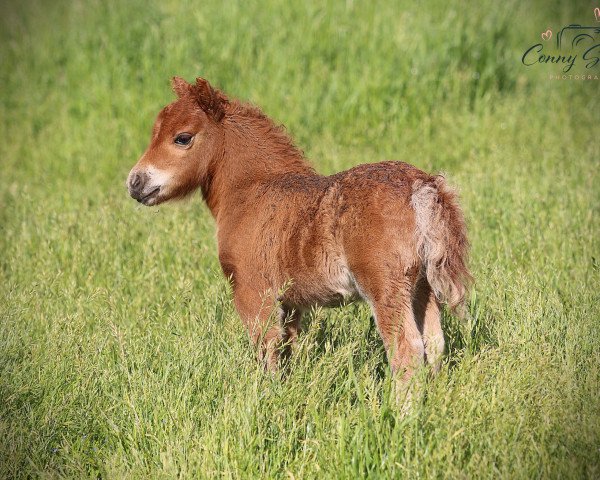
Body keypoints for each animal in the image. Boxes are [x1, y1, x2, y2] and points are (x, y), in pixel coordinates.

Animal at [127, 77, 474, 384]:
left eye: (182, 137)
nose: (135, 182)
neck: (251, 191)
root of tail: (422, 187)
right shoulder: (291, 302)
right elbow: (285, 350)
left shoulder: (253, 292)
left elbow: (266, 350)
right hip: (422, 285)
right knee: (434, 344)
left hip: (385, 284)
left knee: (406, 349)